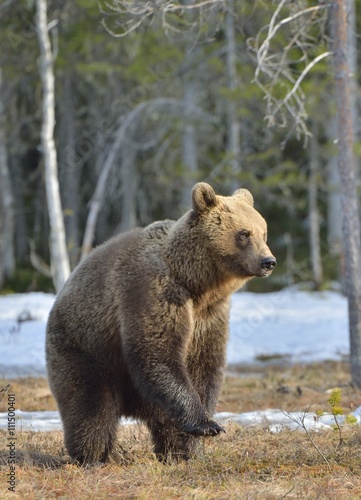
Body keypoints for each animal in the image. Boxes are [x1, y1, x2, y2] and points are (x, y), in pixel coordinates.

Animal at [45, 184, 276, 464]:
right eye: (244, 233)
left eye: (263, 232)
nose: (268, 261)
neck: (196, 282)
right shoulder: (155, 292)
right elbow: (158, 351)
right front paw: (207, 425)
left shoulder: (210, 314)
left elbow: (203, 366)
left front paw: (197, 439)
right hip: (84, 346)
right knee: (91, 405)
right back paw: (92, 455)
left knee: (161, 419)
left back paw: (175, 451)